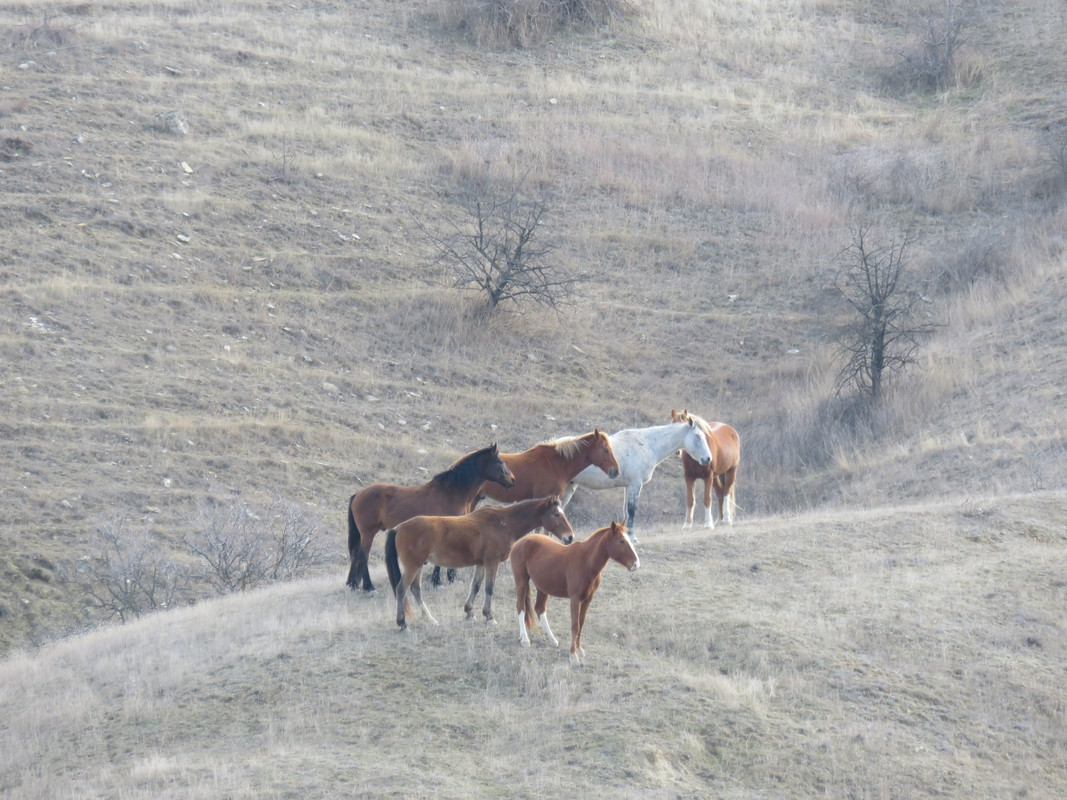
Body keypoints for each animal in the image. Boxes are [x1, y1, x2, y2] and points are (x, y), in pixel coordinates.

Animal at [345, 445, 512, 597]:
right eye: (500, 461)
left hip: (362, 534)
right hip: (368, 533)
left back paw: (353, 584)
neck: (451, 492)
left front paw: (450, 579)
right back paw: (368, 586)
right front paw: (438, 581)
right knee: (363, 556)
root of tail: (358, 493)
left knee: (355, 555)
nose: (512, 480)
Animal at [386, 494, 576, 631]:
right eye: (556, 514)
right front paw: (489, 616)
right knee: (402, 589)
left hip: (417, 566)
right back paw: (402, 623)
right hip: (413, 566)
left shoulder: (481, 564)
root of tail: (399, 527)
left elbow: (475, 587)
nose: (570, 537)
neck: (503, 523)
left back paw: (430, 619)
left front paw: (469, 612)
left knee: (415, 589)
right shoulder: (492, 562)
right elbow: (489, 588)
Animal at [510, 522, 635, 665]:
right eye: (621, 541)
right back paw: (525, 639)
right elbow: (575, 626)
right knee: (521, 607)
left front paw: (579, 650)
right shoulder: (575, 599)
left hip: (543, 588)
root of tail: (520, 542)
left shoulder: (588, 599)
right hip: (521, 581)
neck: (586, 561)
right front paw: (573, 655)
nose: (636, 564)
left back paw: (552, 639)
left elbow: (581, 623)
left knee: (539, 609)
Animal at [559, 420, 717, 546]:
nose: (707, 459)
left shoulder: (628, 486)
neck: (646, 444)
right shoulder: (635, 484)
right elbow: (631, 510)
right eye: (698, 437)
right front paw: (633, 538)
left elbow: (626, 511)